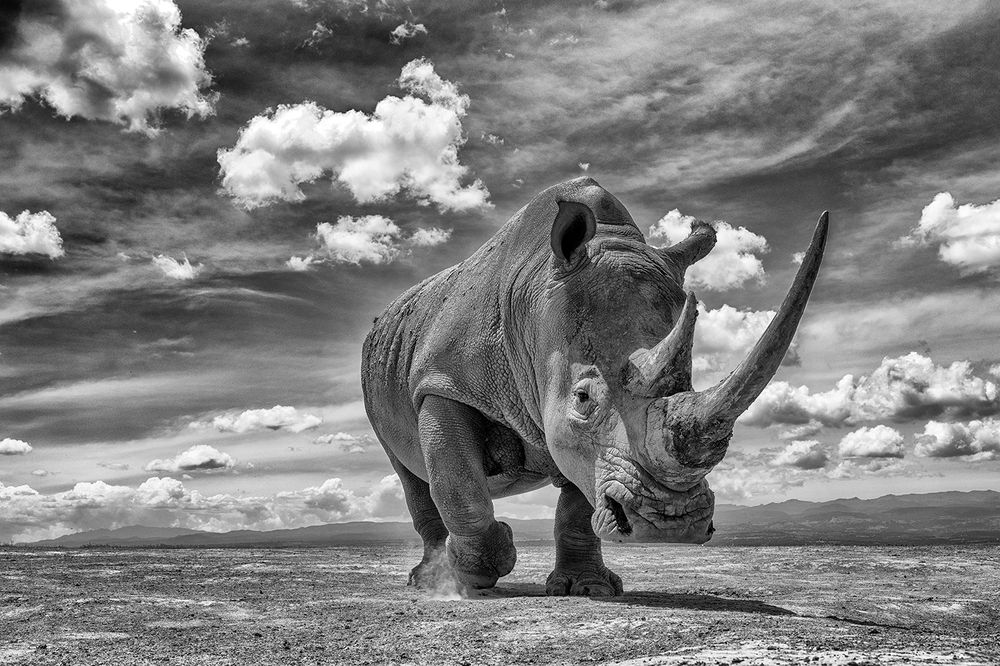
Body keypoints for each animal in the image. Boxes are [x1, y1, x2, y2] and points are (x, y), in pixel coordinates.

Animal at [362, 177, 828, 596]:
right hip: (381, 378)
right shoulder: (442, 382)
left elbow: (578, 504)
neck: (532, 300)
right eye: (583, 399)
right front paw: (475, 575)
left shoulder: (584, 441)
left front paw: (587, 587)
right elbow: (457, 483)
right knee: (409, 474)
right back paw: (428, 580)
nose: (671, 523)